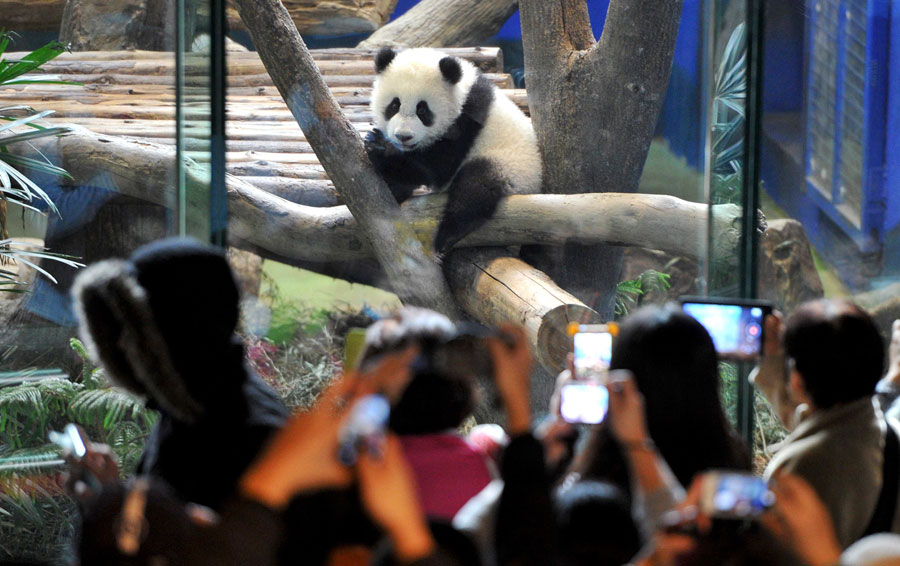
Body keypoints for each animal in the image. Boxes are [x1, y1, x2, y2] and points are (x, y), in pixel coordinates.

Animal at [364, 47, 540, 258]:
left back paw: (448, 236)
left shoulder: (468, 119)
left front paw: (382, 149)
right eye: (394, 105)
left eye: (423, 111)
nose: (403, 136)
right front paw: (392, 182)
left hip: (511, 167)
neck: (461, 91)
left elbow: (439, 167)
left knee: (476, 187)